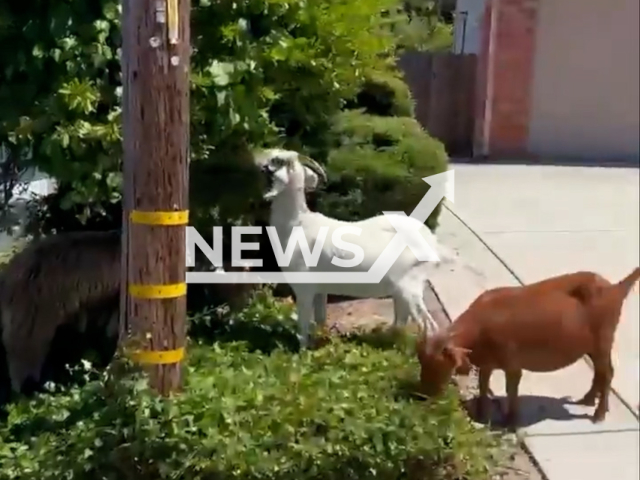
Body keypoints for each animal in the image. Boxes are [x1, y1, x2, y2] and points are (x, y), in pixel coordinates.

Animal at [256, 148, 464, 346]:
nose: (262, 165)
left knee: (430, 327)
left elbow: (303, 325)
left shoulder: (304, 286)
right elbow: (320, 320)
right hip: (401, 291)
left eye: (277, 160)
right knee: (402, 320)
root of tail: (432, 241)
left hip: (410, 286)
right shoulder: (320, 289)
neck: (298, 224)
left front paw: (303, 351)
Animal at [418, 266, 636, 428]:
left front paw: (510, 421)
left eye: (440, 365)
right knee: (600, 372)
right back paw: (588, 399)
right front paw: (481, 413)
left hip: (603, 340)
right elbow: (483, 384)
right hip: (590, 346)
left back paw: (599, 414)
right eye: (421, 361)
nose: (423, 396)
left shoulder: (512, 363)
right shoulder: (487, 362)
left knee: (607, 373)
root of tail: (615, 288)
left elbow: (511, 388)